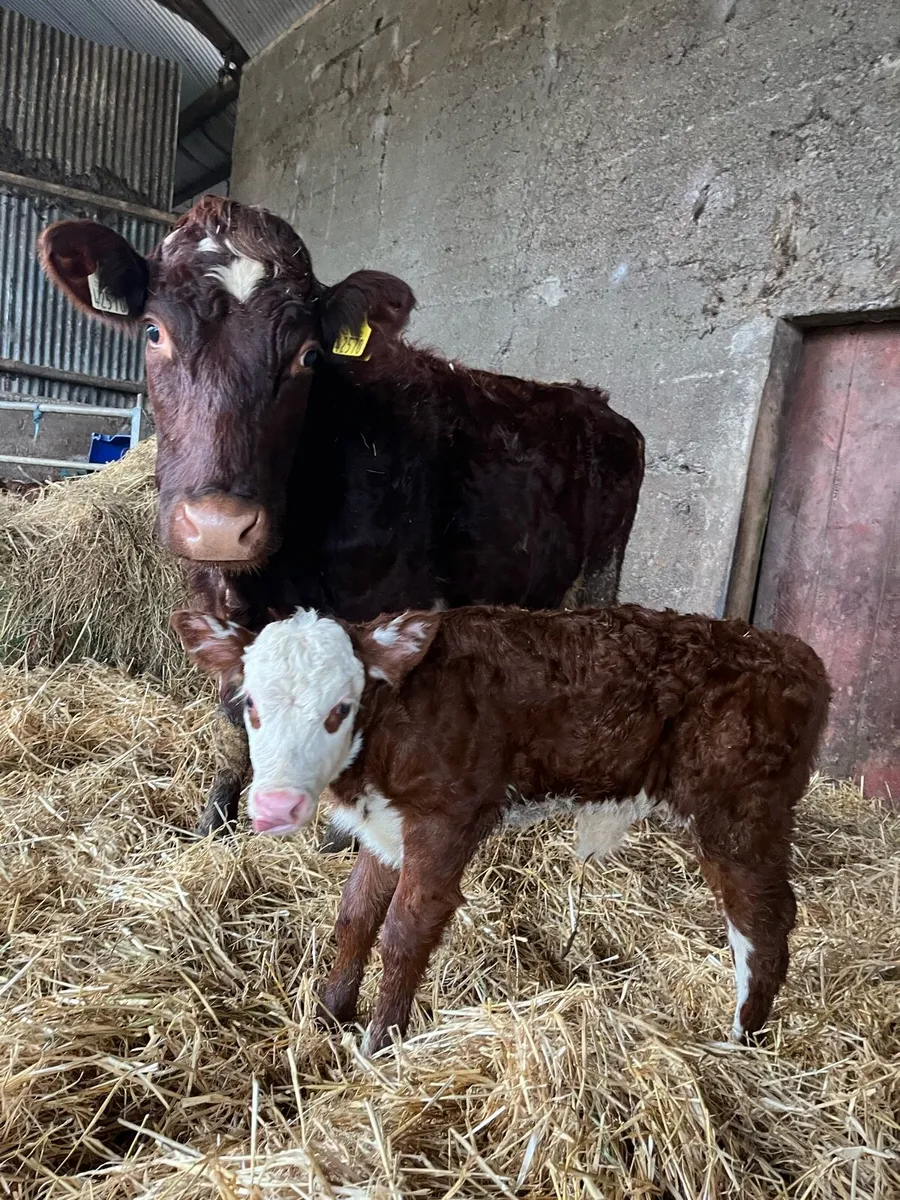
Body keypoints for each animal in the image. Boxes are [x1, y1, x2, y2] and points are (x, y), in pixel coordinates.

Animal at [38, 195, 644, 841]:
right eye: (154, 331)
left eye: (308, 355)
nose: (221, 523)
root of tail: (597, 402)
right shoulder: (211, 591)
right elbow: (233, 704)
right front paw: (216, 815)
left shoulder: (394, 600)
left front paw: (346, 829)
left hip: (603, 569)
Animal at [173, 603, 830, 1055]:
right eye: (251, 704)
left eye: (340, 708)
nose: (276, 806)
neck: (395, 719)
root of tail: (793, 653)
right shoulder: (385, 826)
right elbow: (355, 915)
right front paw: (329, 1015)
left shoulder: (447, 819)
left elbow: (405, 930)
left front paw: (380, 1044)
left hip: (739, 814)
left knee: (763, 925)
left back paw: (739, 1043)